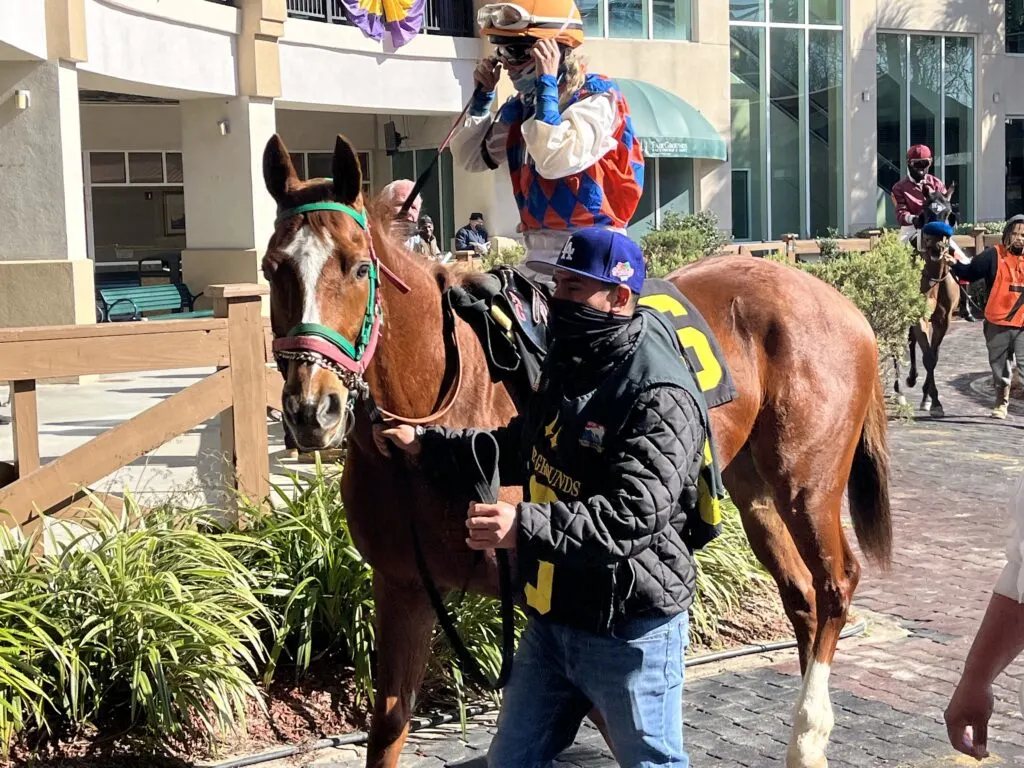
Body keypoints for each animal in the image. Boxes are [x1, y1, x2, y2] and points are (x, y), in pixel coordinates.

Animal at [262, 134, 888, 768]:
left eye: (358, 266)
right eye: (272, 267)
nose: (312, 410)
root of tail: (837, 300)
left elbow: (613, 720)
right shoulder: (403, 587)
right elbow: (389, 727)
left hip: (806, 483)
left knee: (837, 583)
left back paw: (809, 733)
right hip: (751, 487)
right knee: (801, 594)